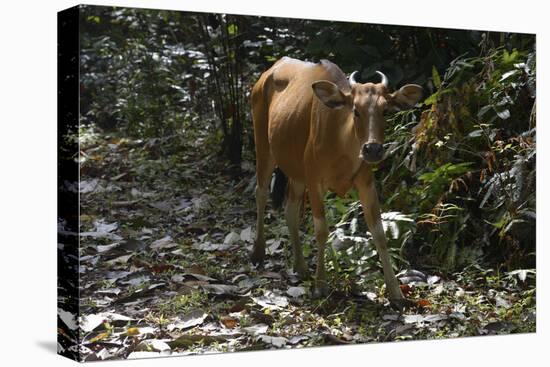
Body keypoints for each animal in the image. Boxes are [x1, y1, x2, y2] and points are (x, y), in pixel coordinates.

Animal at [252, 56, 424, 304]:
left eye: (385, 111)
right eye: (356, 110)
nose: (372, 149)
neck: (341, 144)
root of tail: (269, 71)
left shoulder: (365, 182)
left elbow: (379, 232)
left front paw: (395, 292)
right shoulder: (315, 181)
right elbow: (321, 230)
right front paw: (320, 286)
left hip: (296, 171)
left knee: (290, 209)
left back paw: (300, 267)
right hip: (263, 146)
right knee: (260, 192)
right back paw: (258, 252)